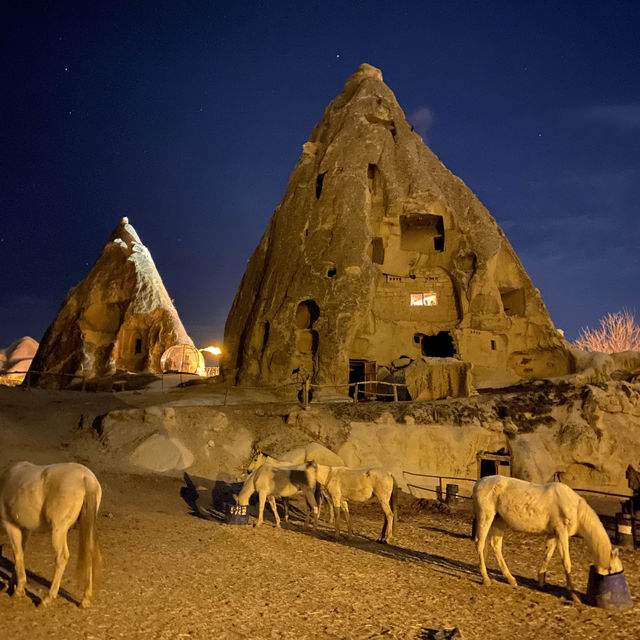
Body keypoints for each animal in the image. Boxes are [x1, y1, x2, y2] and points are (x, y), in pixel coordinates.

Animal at [0, 462, 101, 608]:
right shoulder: (25, 529)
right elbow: (19, 554)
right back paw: (85, 599)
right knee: (89, 554)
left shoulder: (11, 525)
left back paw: (48, 598)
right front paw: (12, 585)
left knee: (62, 557)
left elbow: (17, 554)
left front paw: (19, 590)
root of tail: (86, 479)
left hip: (59, 530)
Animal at [472, 476, 624, 600]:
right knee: (480, 544)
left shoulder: (553, 534)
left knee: (495, 545)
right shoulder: (561, 532)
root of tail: (478, 483)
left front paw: (541, 582)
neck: (575, 509)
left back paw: (510, 579)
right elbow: (566, 562)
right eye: (612, 571)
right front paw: (574, 596)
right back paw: (486, 579)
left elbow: (548, 555)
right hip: (486, 516)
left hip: (499, 520)